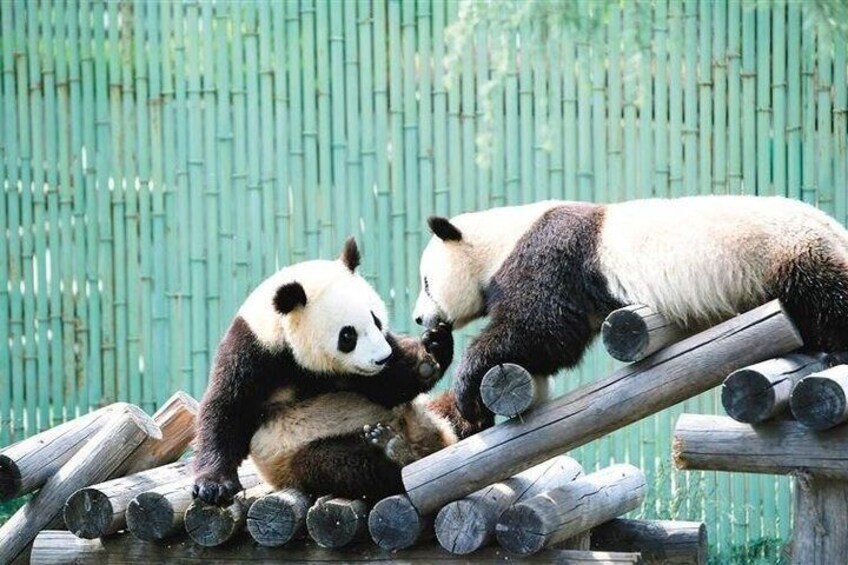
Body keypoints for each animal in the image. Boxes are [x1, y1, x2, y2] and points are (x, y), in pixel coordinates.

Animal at [193, 238, 461, 504]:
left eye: (376, 320)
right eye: (348, 335)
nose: (383, 358)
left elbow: (389, 391)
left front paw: (431, 351)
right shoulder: (255, 351)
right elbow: (228, 409)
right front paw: (213, 486)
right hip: (296, 455)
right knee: (342, 465)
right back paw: (394, 452)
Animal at [413, 195, 848, 434]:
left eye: (427, 282)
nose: (419, 319)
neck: (500, 239)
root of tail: (834, 225)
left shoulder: (553, 256)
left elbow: (541, 327)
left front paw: (467, 385)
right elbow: (542, 352)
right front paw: (439, 355)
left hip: (789, 252)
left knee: (827, 296)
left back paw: (833, 352)